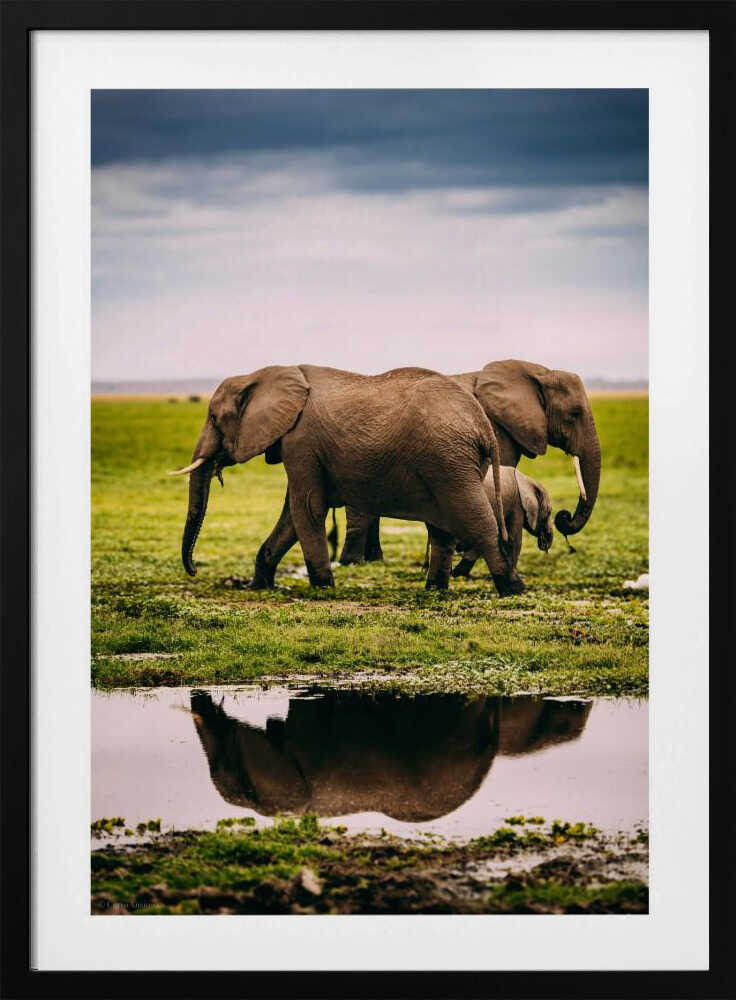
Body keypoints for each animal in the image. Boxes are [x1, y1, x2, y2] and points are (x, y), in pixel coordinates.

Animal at [171, 365, 521, 595]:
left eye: (213, 417)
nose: (194, 569)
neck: (263, 375)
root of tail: (483, 424)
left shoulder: (301, 440)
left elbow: (306, 508)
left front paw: (322, 587)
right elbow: (290, 516)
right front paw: (258, 586)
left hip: (450, 463)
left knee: (477, 521)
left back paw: (512, 588)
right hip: (447, 465)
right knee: (442, 530)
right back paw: (434, 589)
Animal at [338, 359, 601, 566]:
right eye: (574, 414)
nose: (564, 518)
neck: (538, 371)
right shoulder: (497, 429)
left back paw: (373, 560)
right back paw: (354, 562)